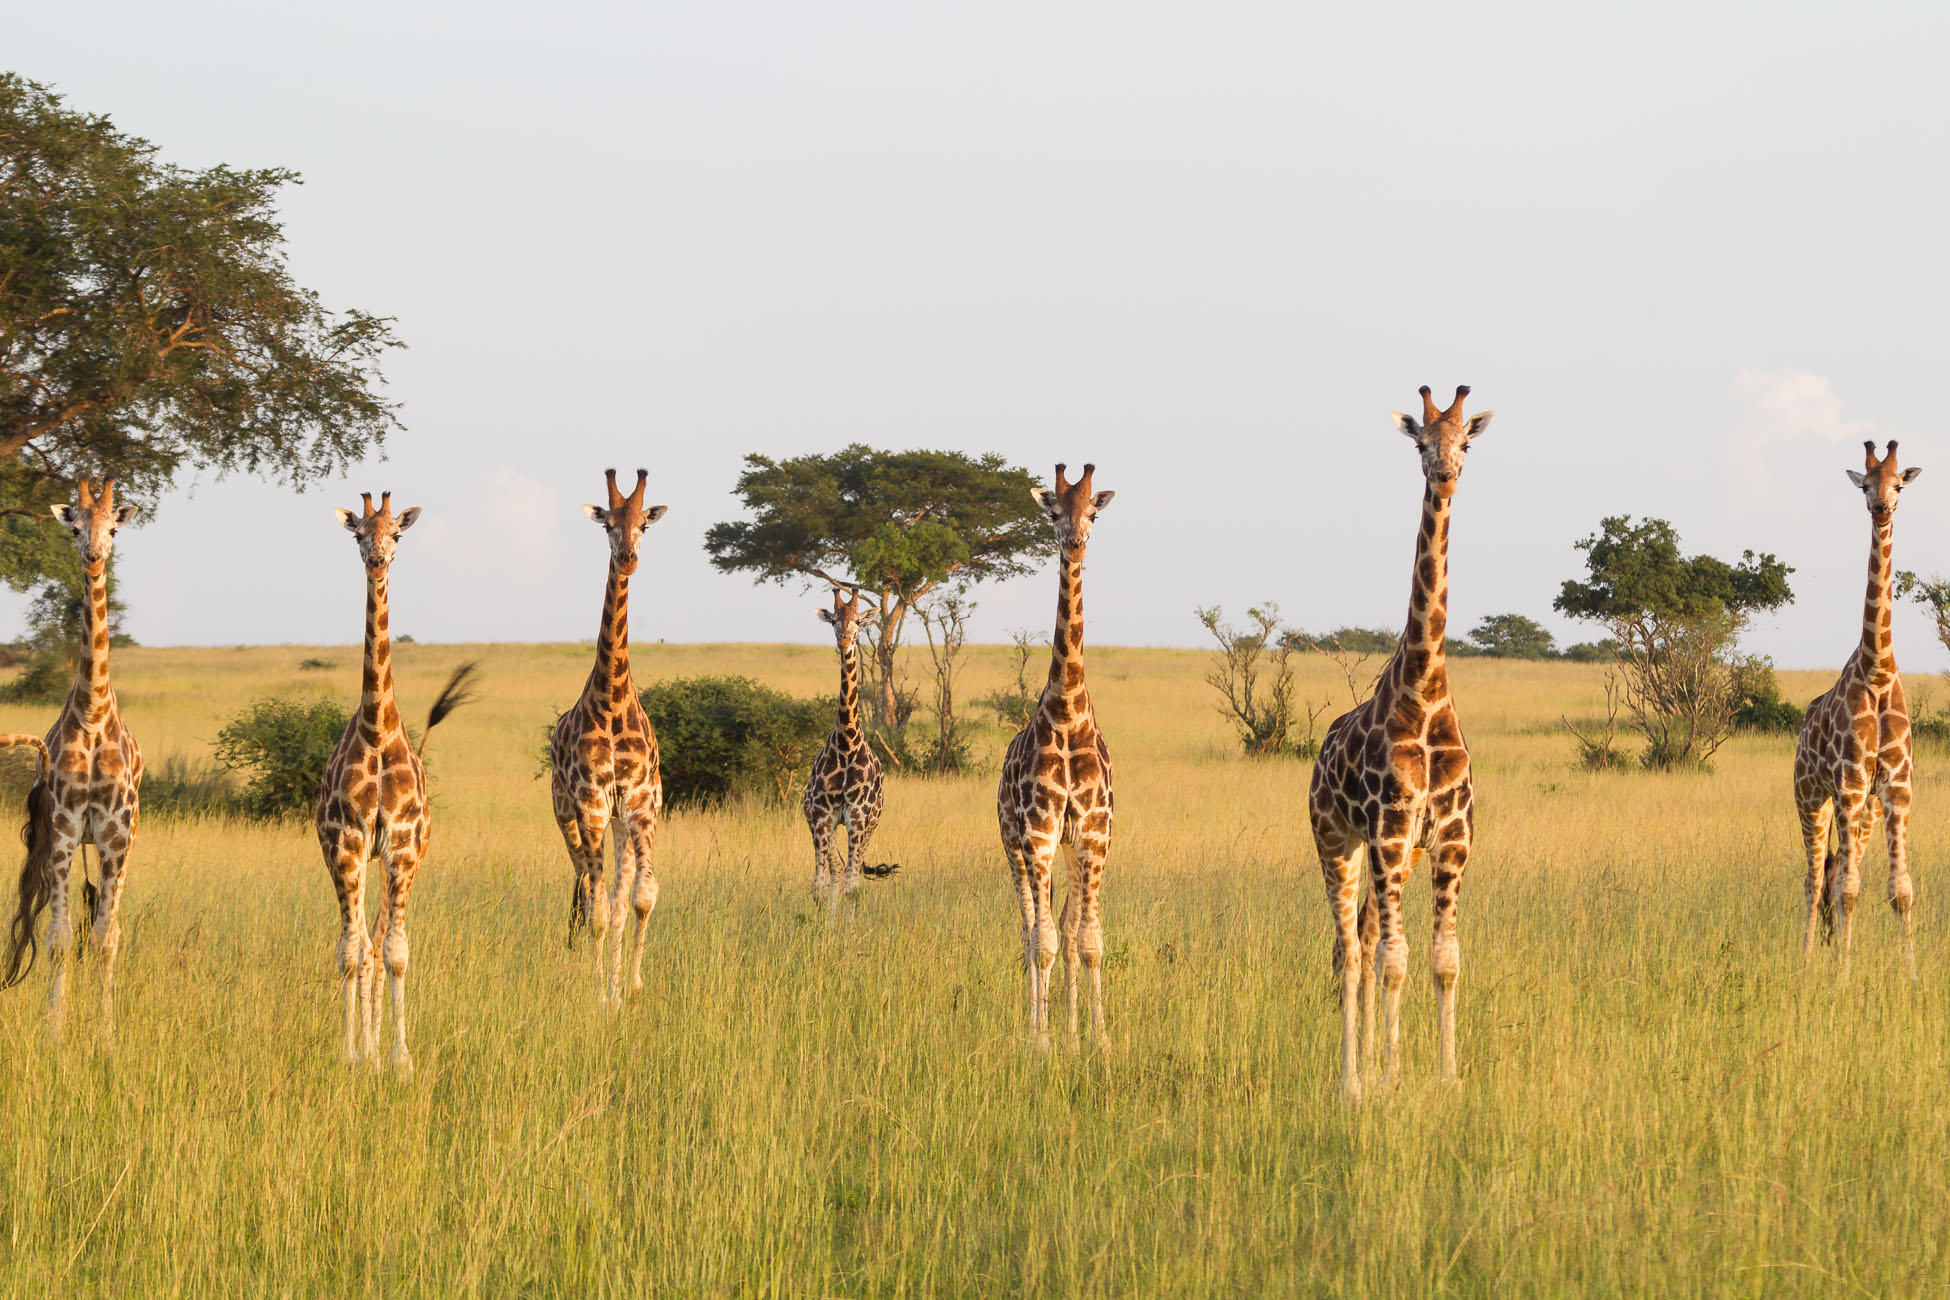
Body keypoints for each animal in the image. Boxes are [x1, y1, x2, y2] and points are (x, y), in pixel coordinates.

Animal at [0, 476, 142, 1040]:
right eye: (75, 528)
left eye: (113, 529)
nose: (93, 557)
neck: (94, 710)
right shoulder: (61, 828)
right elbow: (59, 935)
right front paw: (56, 1031)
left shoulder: (115, 834)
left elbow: (105, 937)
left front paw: (106, 1036)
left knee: (106, 924)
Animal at [316, 491, 476, 1071]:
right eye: (359, 533)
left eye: (398, 534)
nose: (378, 559)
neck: (378, 728)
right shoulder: (349, 840)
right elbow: (351, 954)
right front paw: (351, 1054)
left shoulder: (403, 845)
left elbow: (396, 954)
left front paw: (400, 1059)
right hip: (354, 857)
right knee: (363, 943)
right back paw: (366, 1048)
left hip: (395, 860)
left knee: (382, 939)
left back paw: (380, 1048)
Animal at [803, 585, 897, 914]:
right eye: (834, 621)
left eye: (858, 621)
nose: (844, 641)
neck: (846, 743)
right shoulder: (822, 816)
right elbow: (820, 885)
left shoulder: (857, 816)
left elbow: (852, 885)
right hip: (826, 825)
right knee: (835, 873)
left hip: (872, 822)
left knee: (849, 874)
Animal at [1310, 385, 1492, 1099]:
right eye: (1421, 442)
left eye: (1465, 440)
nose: (1444, 475)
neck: (1425, 688)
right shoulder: (1386, 832)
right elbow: (1394, 960)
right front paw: (1387, 1079)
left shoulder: (1449, 838)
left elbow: (1444, 960)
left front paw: (1449, 1078)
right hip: (1337, 841)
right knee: (1349, 951)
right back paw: (1351, 1080)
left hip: (1396, 856)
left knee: (1361, 937)